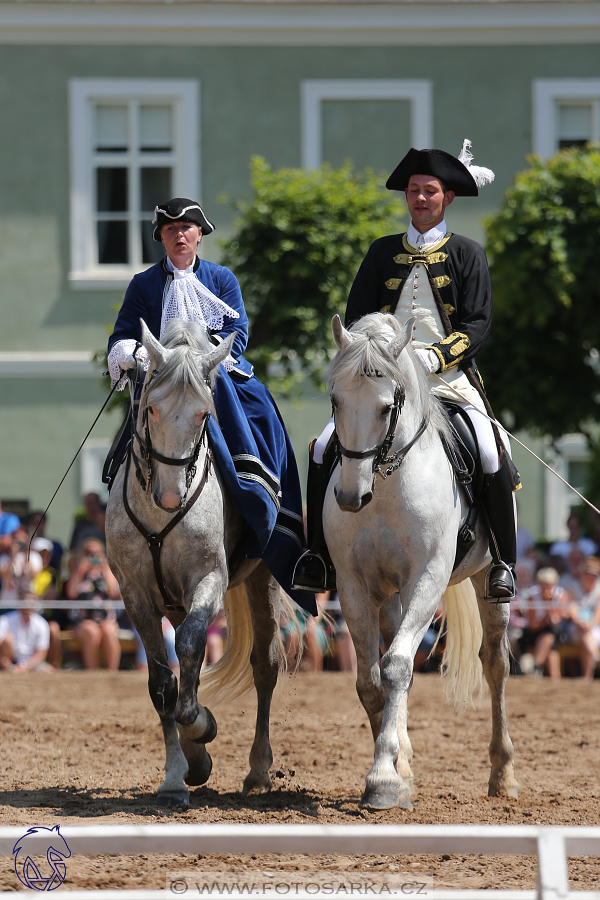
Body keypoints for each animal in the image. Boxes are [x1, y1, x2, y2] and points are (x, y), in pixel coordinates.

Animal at [107, 318, 290, 808]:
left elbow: (190, 649)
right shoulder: (136, 595)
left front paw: (201, 726)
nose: (171, 497)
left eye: (205, 414)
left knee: (264, 668)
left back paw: (258, 771)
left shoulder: (208, 580)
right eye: (150, 408)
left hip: (261, 579)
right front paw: (177, 774)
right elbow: (161, 683)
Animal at [326, 312, 516, 812]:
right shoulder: (354, 588)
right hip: (390, 597)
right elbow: (372, 680)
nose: (351, 497)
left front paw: (382, 779)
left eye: (387, 406)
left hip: (487, 587)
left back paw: (503, 776)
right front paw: (392, 772)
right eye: (335, 400)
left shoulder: (426, 582)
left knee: (495, 664)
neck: (387, 485)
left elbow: (395, 667)